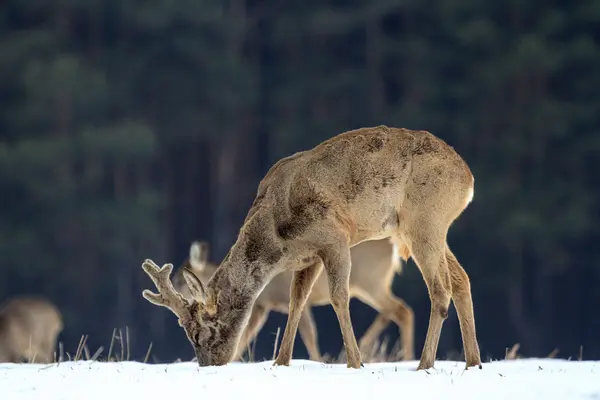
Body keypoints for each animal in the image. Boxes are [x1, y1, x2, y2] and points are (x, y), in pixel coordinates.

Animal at [173, 239, 414, 364]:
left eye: (180, 280)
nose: (177, 294)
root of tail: (393, 247)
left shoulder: (275, 301)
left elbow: (309, 334)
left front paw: (317, 360)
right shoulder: (262, 306)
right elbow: (245, 336)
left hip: (370, 281)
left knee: (402, 310)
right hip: (372, 284)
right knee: (394, 311)